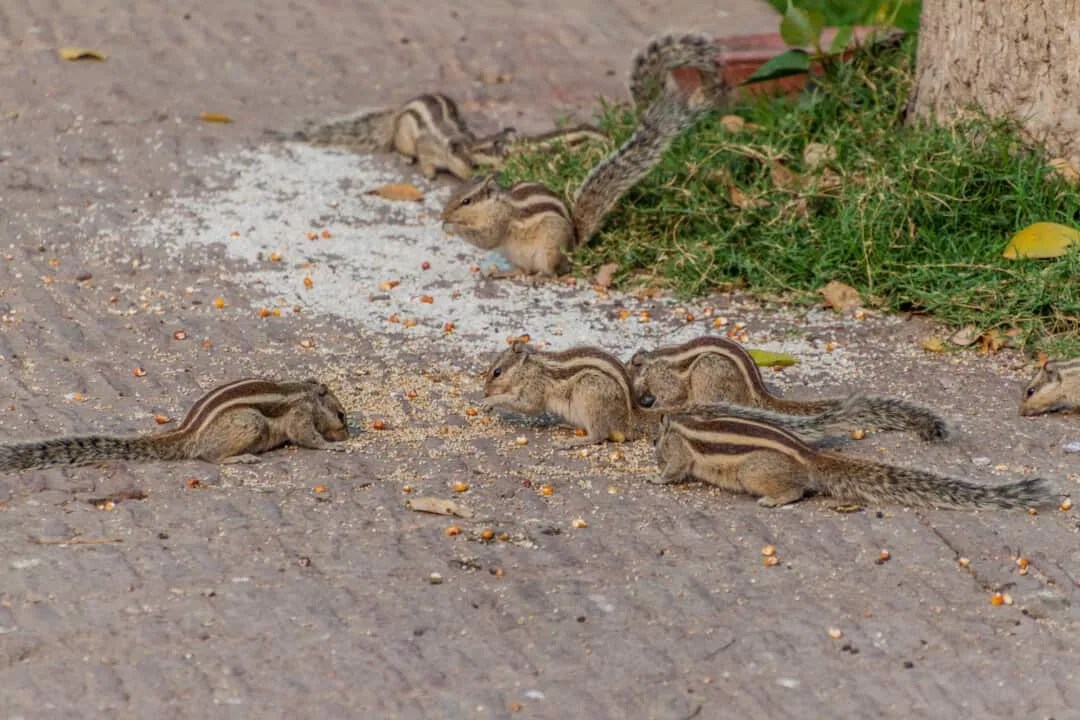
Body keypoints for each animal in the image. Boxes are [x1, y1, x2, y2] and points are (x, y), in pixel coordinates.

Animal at [0, 378, 350, 471]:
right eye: (342, 416)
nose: (347, 433)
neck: (305, 393)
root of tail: (188, 434)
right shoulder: (300, 416)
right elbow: (307, 437)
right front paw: (331, 446)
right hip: (250, 424)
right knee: (210, 456)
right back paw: (240, 458)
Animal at [440, 32, 727, 276]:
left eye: (466, 201)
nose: (444, 215)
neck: (497, 205)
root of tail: (572, 244)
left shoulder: (500, 223)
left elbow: (487, 239)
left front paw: (452, 226)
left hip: (546, 250)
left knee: (550, 272)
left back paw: (537, 276)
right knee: (525, 269)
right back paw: (506, 273)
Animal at [628, 335, 951, 442]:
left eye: (632, 364)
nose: (639, 395)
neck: (653, 363)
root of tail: (758, 391)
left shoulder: (667, 380)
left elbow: (673, 394)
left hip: (709, 374)